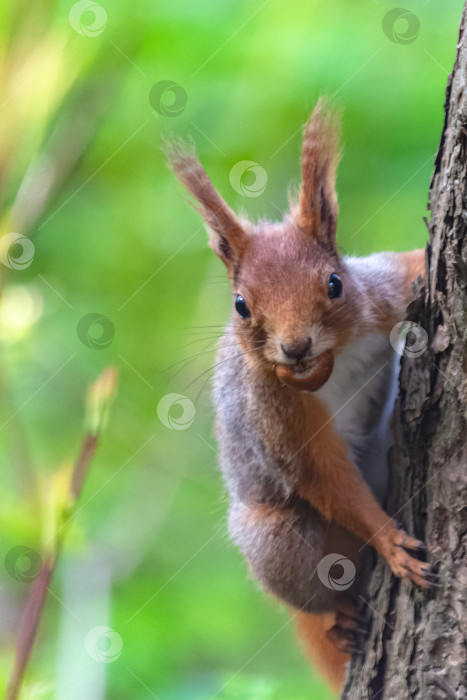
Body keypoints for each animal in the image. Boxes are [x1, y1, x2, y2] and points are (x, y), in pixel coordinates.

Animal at [166, 95, 436, 692]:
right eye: (241, 305)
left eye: (334, 284)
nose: (294, 348)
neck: (329, 361)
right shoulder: (275, 408)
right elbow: (323, 475)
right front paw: (390, 541)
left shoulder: (384, 294)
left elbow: (412, 264)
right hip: (276, 542)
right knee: (320, 594)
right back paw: (341, 618)